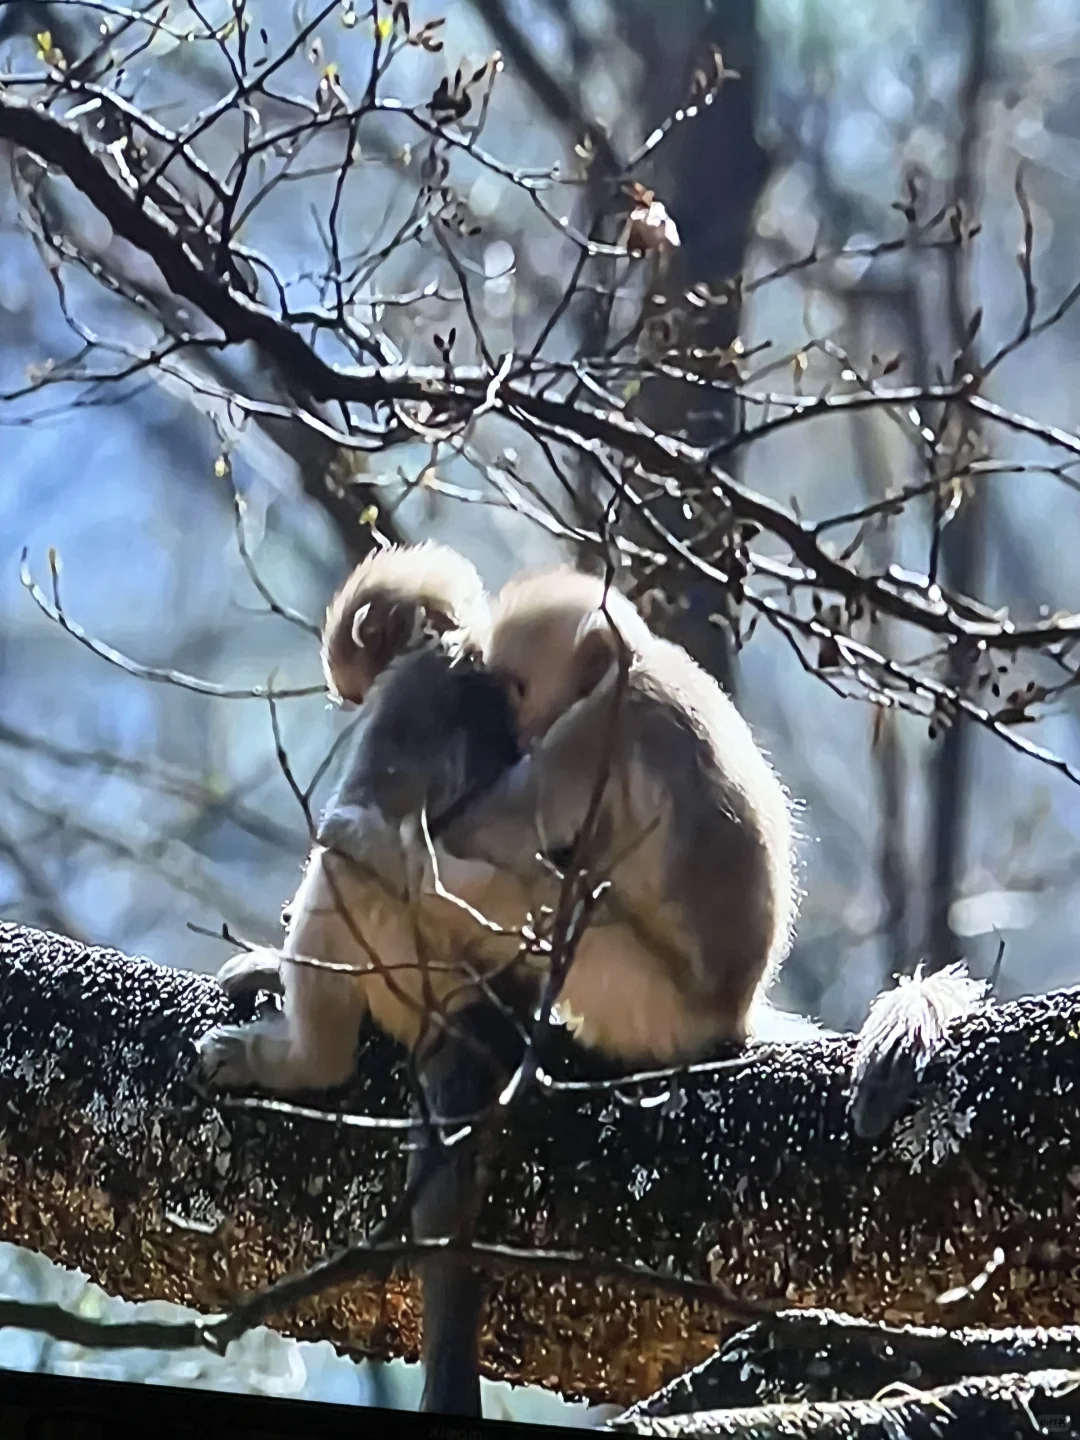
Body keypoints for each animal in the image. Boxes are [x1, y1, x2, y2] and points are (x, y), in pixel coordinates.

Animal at [434, 567, 806, 1065]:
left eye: (518, 688)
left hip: (631, 990)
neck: (631, 666)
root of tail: (733, 1013)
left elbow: (483, 833)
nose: (518, 728)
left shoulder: (591, 731)